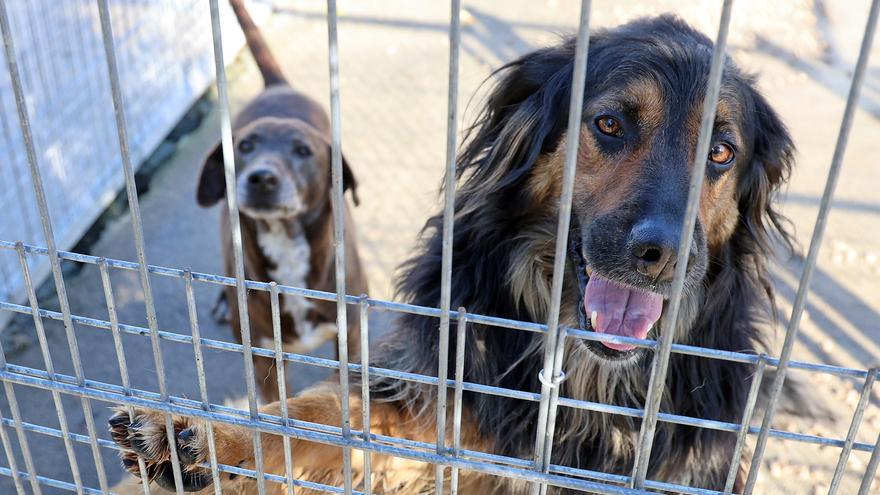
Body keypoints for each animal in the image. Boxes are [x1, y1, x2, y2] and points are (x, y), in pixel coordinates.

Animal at [198, 0, 366, 404]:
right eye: (245, 147)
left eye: (303, 151)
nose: (262, 178)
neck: (286, 243)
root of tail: (278, 87)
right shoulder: (264, 359)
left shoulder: (351, 338)